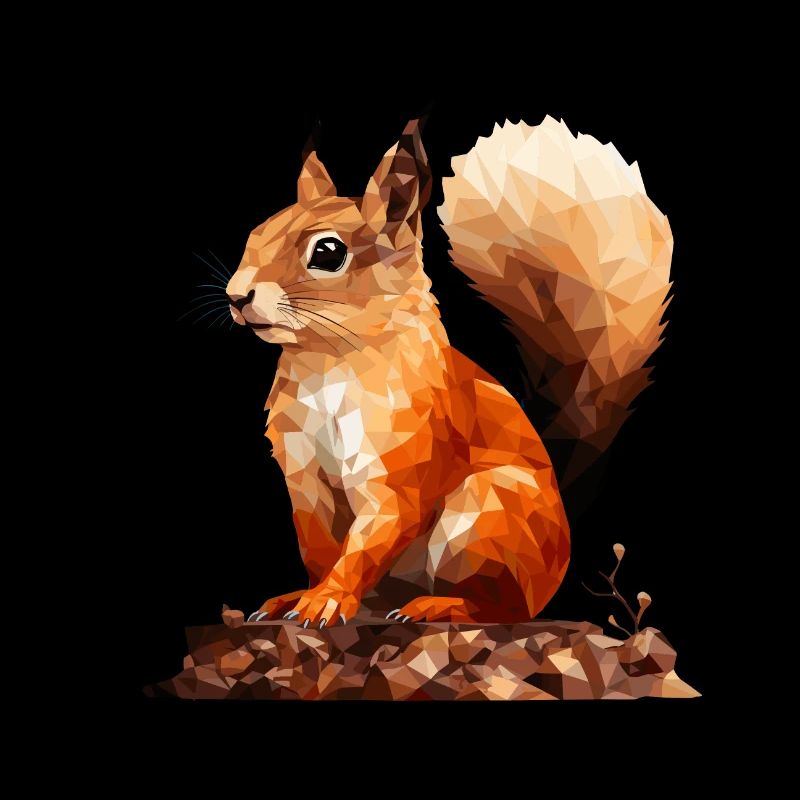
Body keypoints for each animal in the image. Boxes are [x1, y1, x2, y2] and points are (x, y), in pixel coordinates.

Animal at [224, 116, 672, 628]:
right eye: (255, 233)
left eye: (329, 252)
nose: (236, 295)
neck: (327, 364)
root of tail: (556, 567)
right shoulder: (303, 477)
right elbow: (319, 546)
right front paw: (304, 594)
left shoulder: (404, 462)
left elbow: (371, 537)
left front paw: (328, 599)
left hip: (483, 519)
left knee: (502, 608)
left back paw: (436, 606)